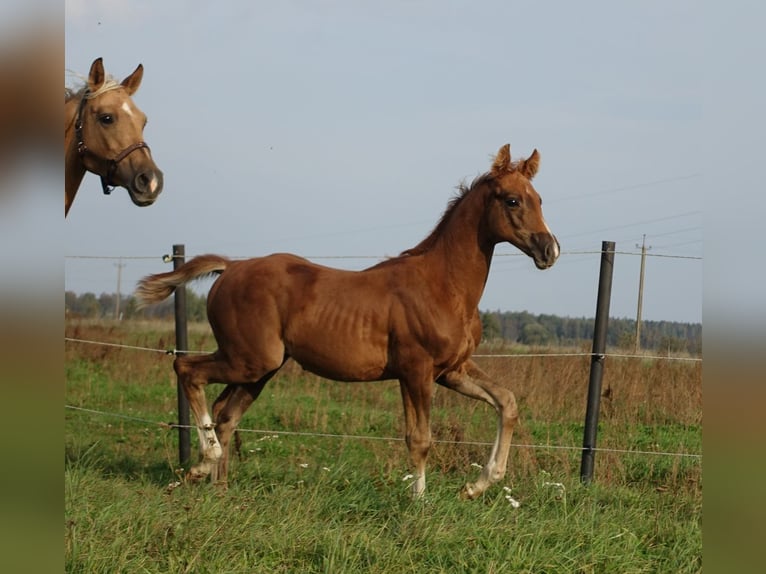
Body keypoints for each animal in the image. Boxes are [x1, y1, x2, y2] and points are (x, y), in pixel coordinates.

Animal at [136, 145, 560, 500]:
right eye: (512, 200)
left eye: (540, 200)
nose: (549, 250)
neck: (443, 285)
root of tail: (231, 267)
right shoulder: (415, 371)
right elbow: (420, 438)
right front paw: (419, 503)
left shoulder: (451, 370)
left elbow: (506, 402)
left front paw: (478, 484)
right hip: (250, 360)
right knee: (187, 369)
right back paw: (202, 465)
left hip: (259, 368)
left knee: (226, 414)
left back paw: (219, 488)